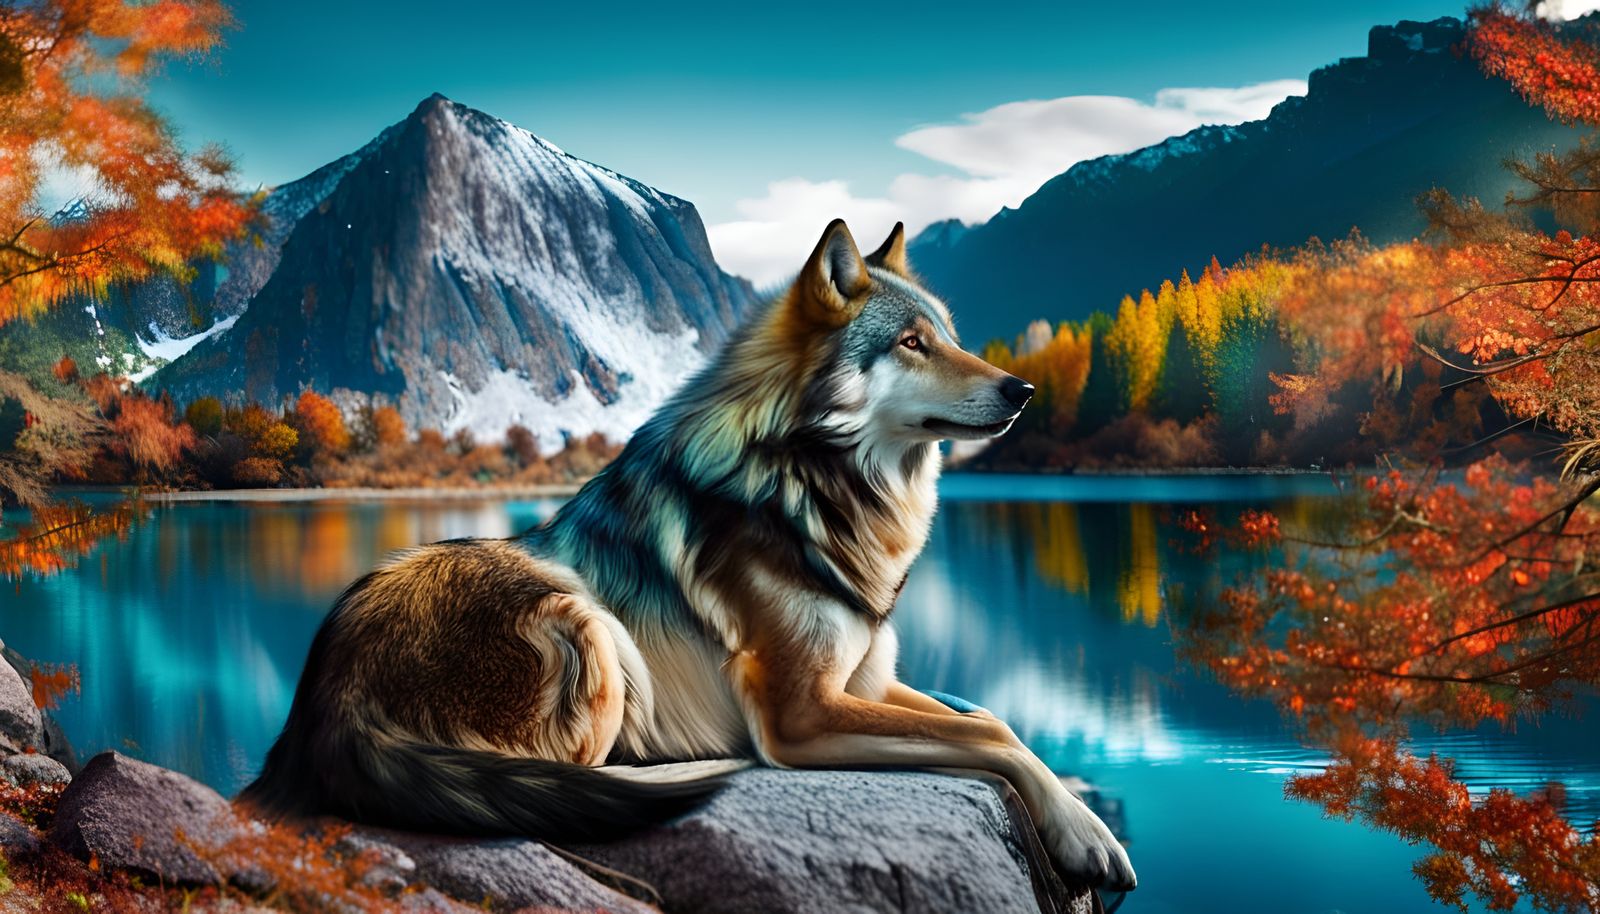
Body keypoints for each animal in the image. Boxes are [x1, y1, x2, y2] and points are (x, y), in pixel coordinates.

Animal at [241, 219, 1137, 891]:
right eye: (913, 342)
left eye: (948, 337)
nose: (1023, 390)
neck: (817, 488)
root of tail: (321, 693)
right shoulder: (804, 713)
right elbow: (991, 742)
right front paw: (1089, 834)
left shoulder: (864, 683)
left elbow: (990, 720)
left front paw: (1079, 820)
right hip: (584, 623)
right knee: (555, 786)